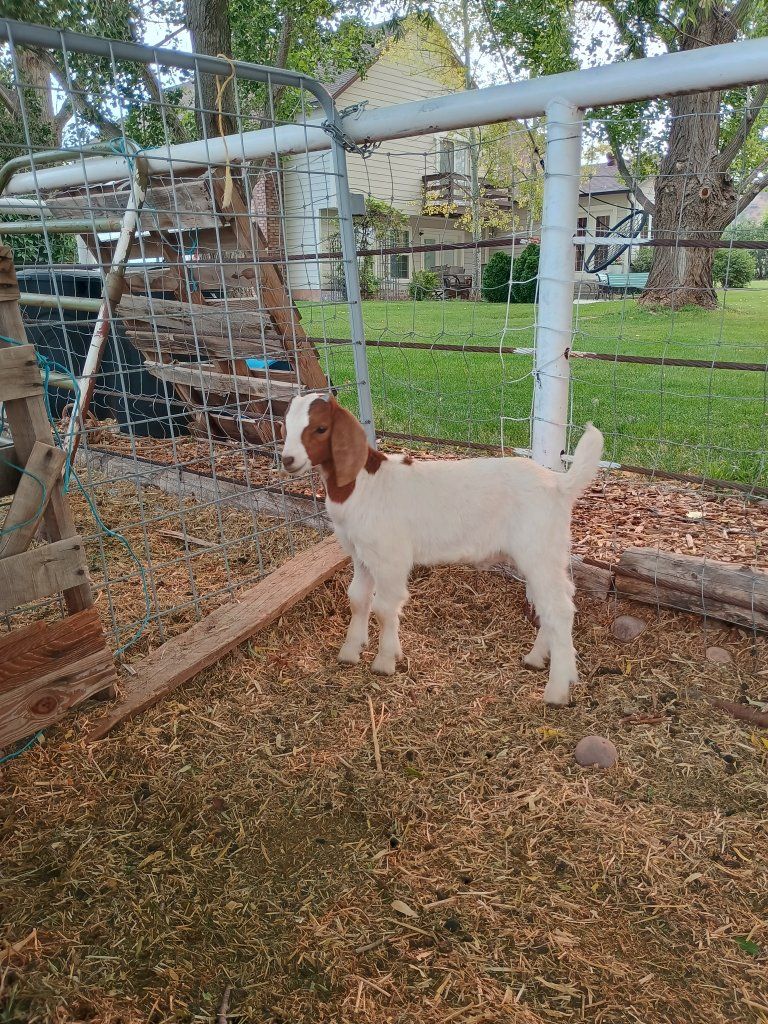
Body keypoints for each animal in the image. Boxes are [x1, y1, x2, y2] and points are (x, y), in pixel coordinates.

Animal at [281, 395, 603, 705]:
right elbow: (358, 599)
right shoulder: (360, 554)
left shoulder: (390, 556)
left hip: (538, 550)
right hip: (545, 554)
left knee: (558, 609)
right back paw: (537, 658)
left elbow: (384, 608)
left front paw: (385, 661)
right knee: (556, 601)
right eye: (285, 423)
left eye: (321, 428)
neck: (363, 484)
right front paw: (350, 651)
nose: (287, 459)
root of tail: (560, 483)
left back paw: (557, 690)